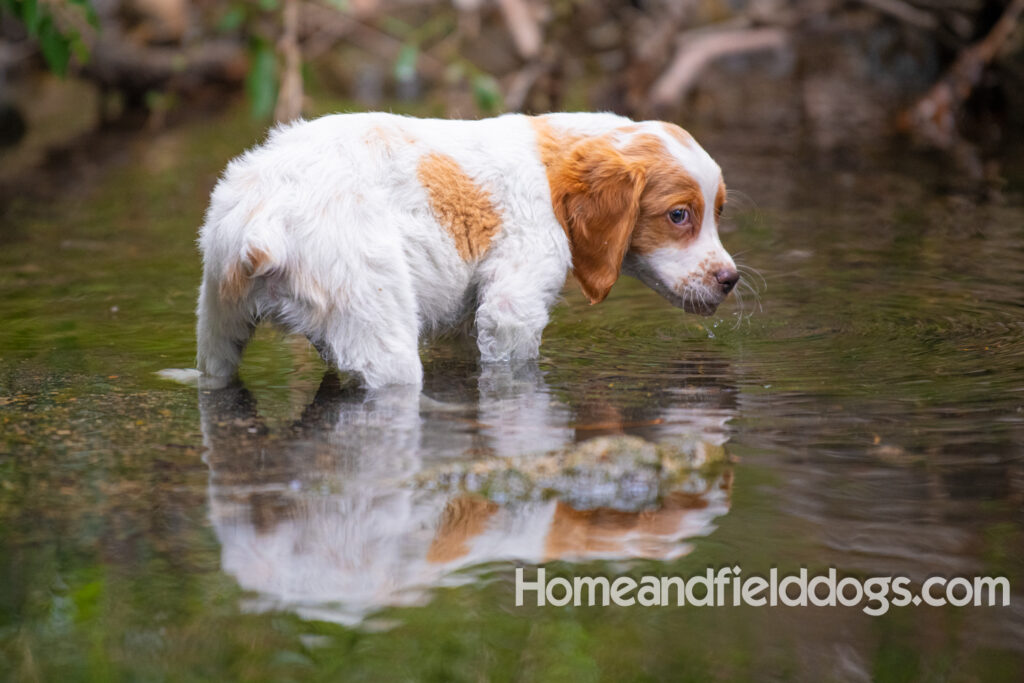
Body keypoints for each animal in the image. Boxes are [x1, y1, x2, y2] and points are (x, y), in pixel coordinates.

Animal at [193, 114, 737, 387]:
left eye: (719, 211)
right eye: (679, 215)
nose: (730, 280)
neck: (550, 166)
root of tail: (263, 220)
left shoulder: (465, 322)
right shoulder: (512, 306)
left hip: (217, 323)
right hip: (382, 335)